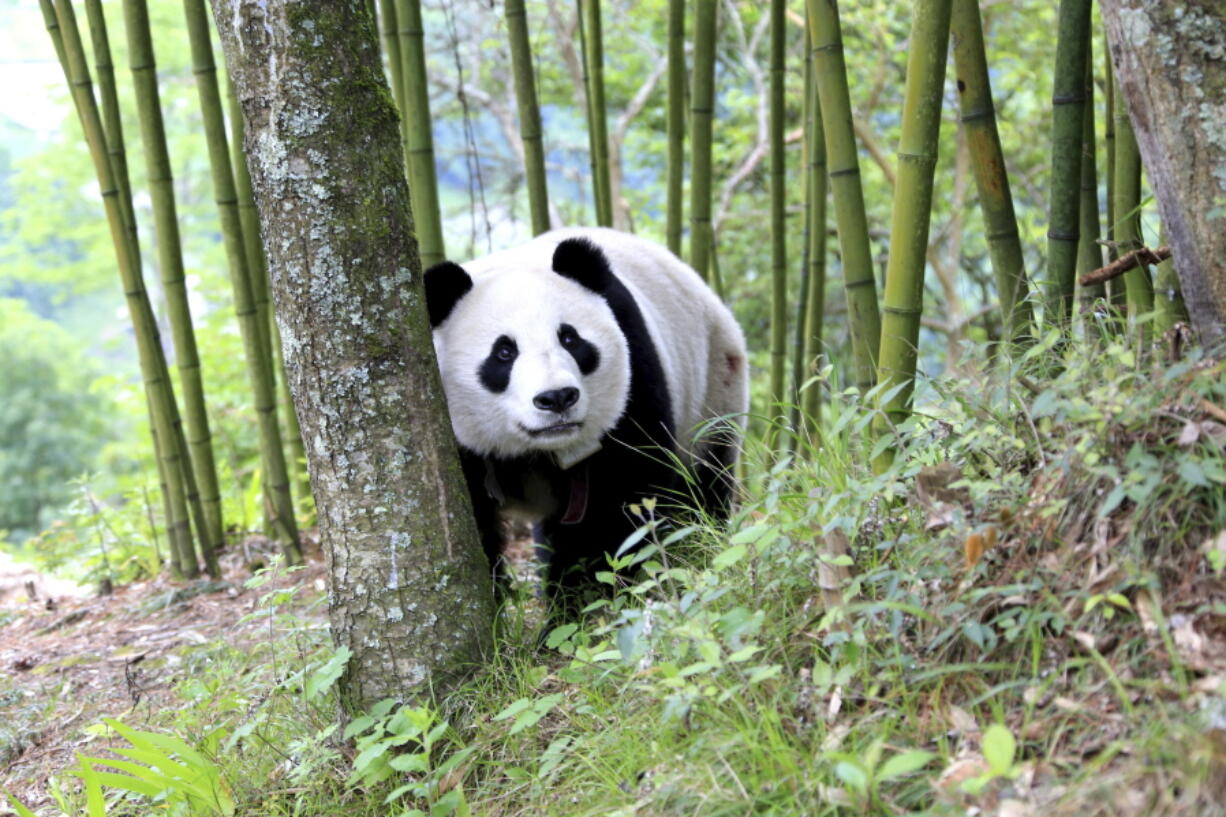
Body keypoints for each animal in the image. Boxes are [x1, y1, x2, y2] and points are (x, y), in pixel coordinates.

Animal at [421, 225, 745, 613]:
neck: (534, 450)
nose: (557, 397)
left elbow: (616, 507)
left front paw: (576, 610)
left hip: (712, 393)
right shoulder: (454, 441)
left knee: (700, 490)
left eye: (570, 339)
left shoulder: (633, 377)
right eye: (504, 352)